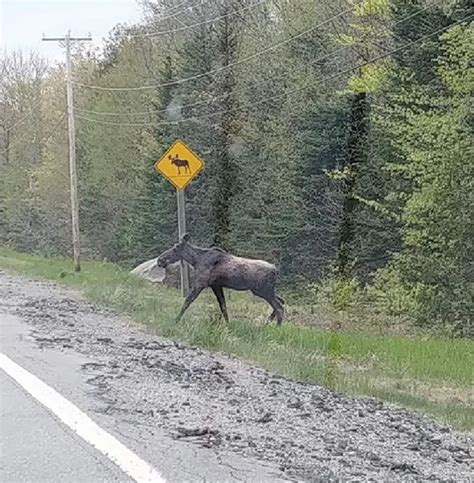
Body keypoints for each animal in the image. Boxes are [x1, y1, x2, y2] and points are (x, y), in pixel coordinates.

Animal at [156, 234, 286, 326]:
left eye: (176, 248)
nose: (160, 260)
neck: (196, 260)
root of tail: (275, 270)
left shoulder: (200, 284)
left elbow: (187, 302)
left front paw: (176, 320)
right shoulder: (216, 285)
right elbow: (223, 307)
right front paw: (228, 325)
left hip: (263, 291)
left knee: (279, 307)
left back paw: (276, 328)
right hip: (265, 291)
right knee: (281, 301)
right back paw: (267, 323)